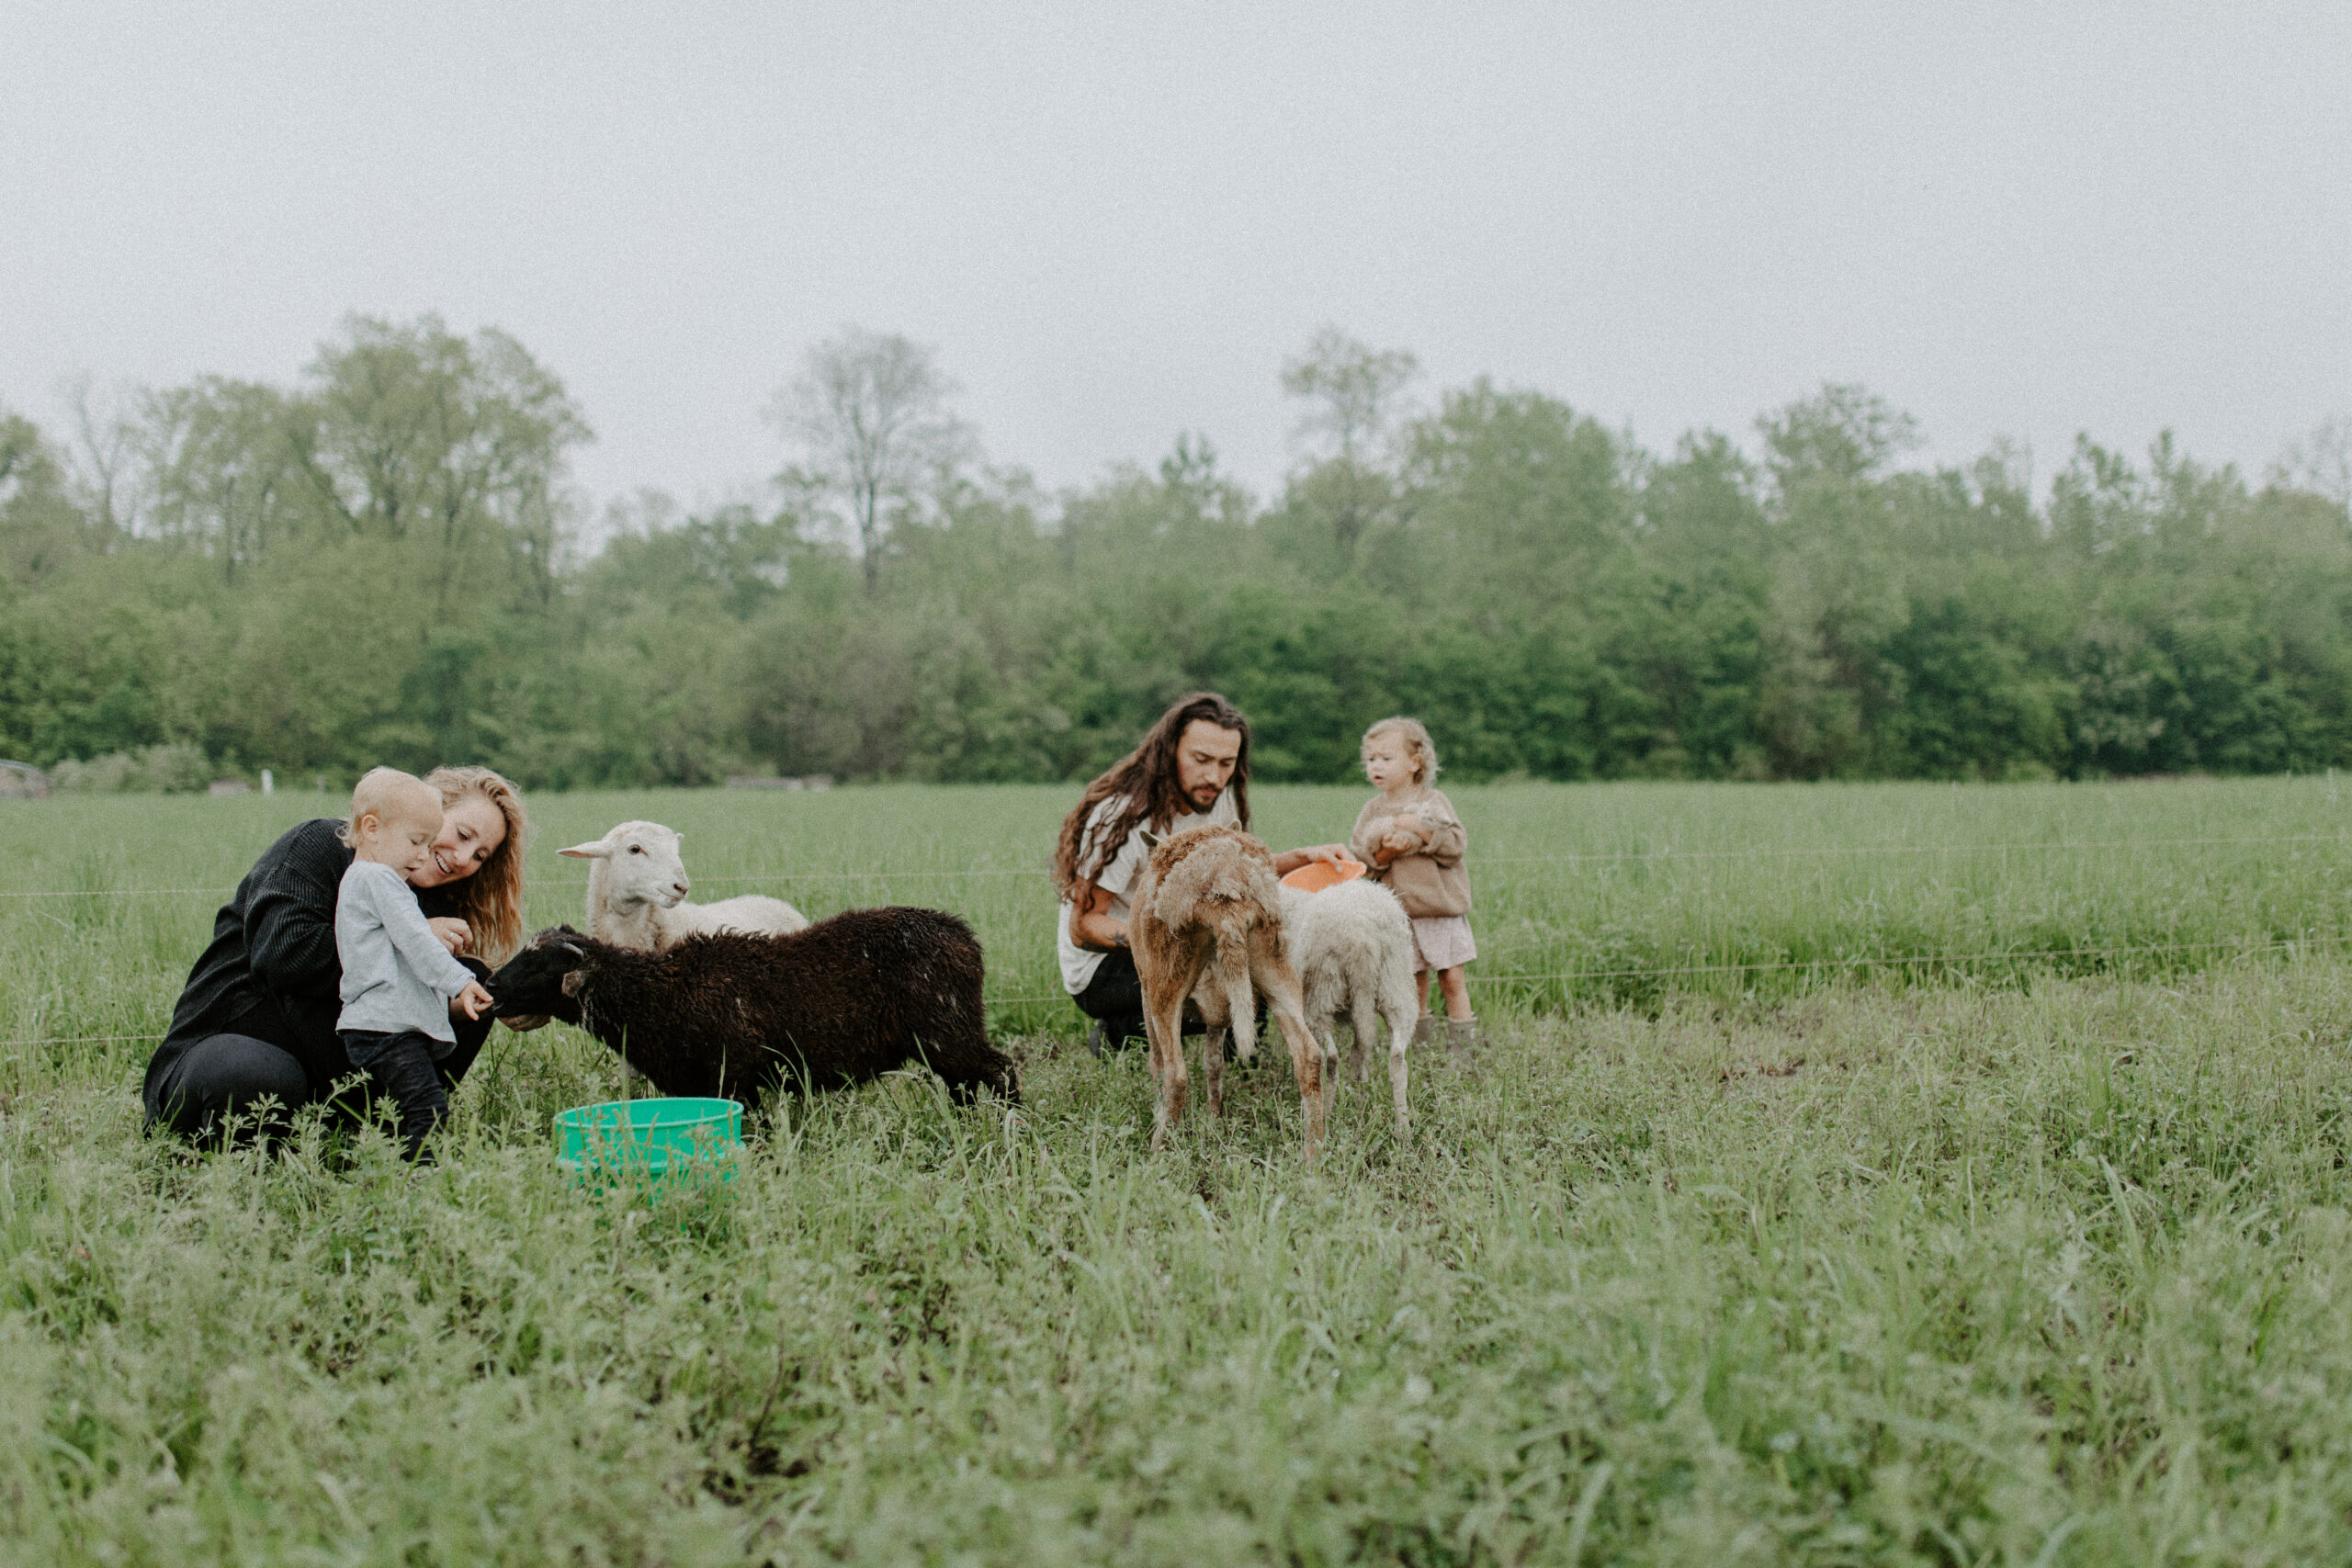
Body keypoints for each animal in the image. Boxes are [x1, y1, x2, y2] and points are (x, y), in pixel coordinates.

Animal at [486, 902, 1021, 1109]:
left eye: (539, 966)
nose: (490, 985)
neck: (657, 994)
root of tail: (964, 937)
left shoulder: (734, 1076)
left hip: (949, 1031)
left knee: (1001, 1069)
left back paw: (1010, 1125)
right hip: (945, 1039)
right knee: (966, 1084)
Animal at [1128, 822, 1336, 1166]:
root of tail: (1225, 892)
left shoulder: (1145, 990)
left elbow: (1157, 1060)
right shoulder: (1219, 1013)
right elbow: (1214, 1062)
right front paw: (1214, 1117)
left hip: (1166, 977)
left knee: (1176, 1073)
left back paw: (1157, 1151)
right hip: (1273, 960)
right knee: (1309, 1056)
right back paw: (1313, 1154)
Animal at [1279, 884, 1420, 1142]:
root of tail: (1361, 939)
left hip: (1321, 996)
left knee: (1332, 1059)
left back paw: (1325, 1119)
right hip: (1397, 988)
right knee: (1395, 1058)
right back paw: (1401, 1129)